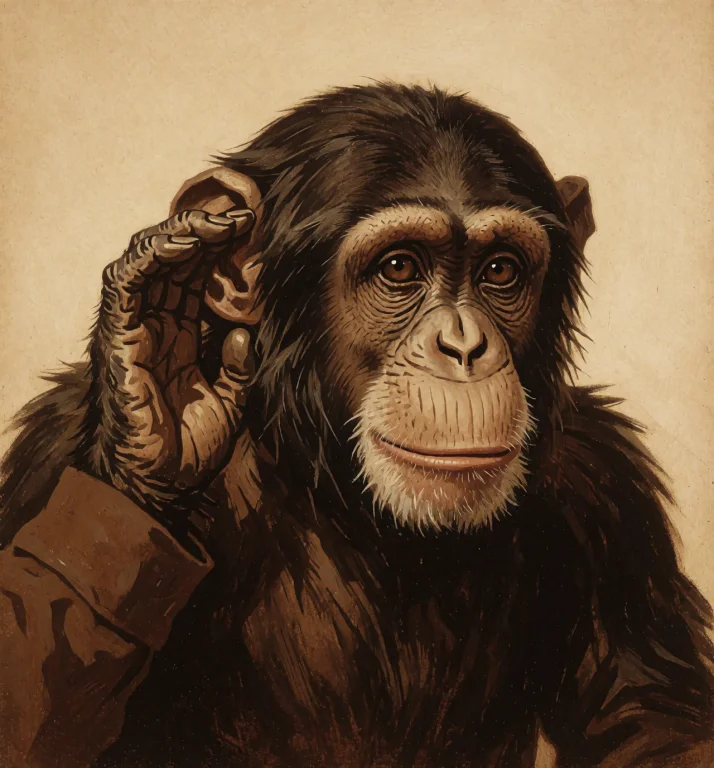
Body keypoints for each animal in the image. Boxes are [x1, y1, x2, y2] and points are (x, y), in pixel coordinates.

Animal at [0, 83, 712, 768]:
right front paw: (153, 391)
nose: (464, 346)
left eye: (501, 270)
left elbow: (656, 721)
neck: (350, 500)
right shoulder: (47, 452)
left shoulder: (610, 492)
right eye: (399, 267)